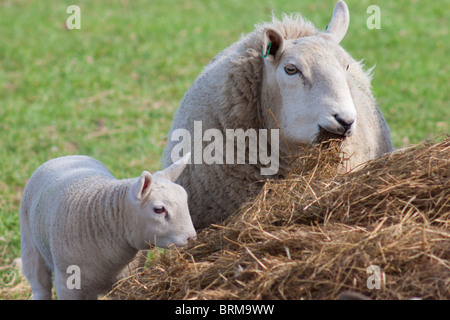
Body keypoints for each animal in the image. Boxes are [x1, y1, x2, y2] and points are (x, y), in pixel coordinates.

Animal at [19, 154, 195, 298]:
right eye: (159, 209)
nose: (191, 238)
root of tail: (64, 157)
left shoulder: (128, 281)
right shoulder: (68, 284)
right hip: (30, 246)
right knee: (40, 285)